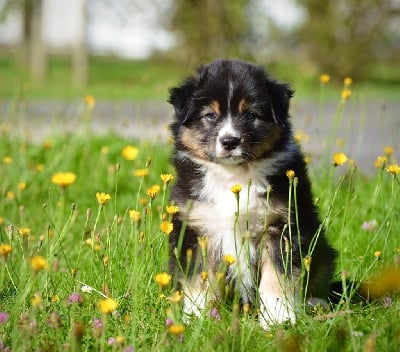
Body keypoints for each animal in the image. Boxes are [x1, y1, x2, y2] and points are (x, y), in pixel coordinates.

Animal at [167, 59, 336, 328]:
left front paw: (278, 319)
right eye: (210, 115)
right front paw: (197, 318)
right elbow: (197, 279)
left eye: (250, 114)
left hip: (322, 248)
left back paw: (314, 303)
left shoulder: (281, 227)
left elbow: (278, 277)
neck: (233, 177)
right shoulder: (195, 228)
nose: (229, 141)